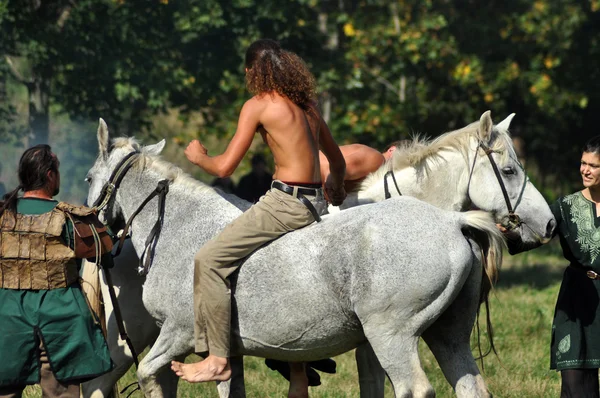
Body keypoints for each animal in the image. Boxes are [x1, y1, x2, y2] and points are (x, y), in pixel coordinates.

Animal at [82, 109, 556, 398]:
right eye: (509, 170)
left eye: (87, 176)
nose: (550, 225)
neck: (176, 226)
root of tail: (450, 222)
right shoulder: (224, 354)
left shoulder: (179, 334)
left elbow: (151, 376)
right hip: (446, 336)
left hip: (392, 335)